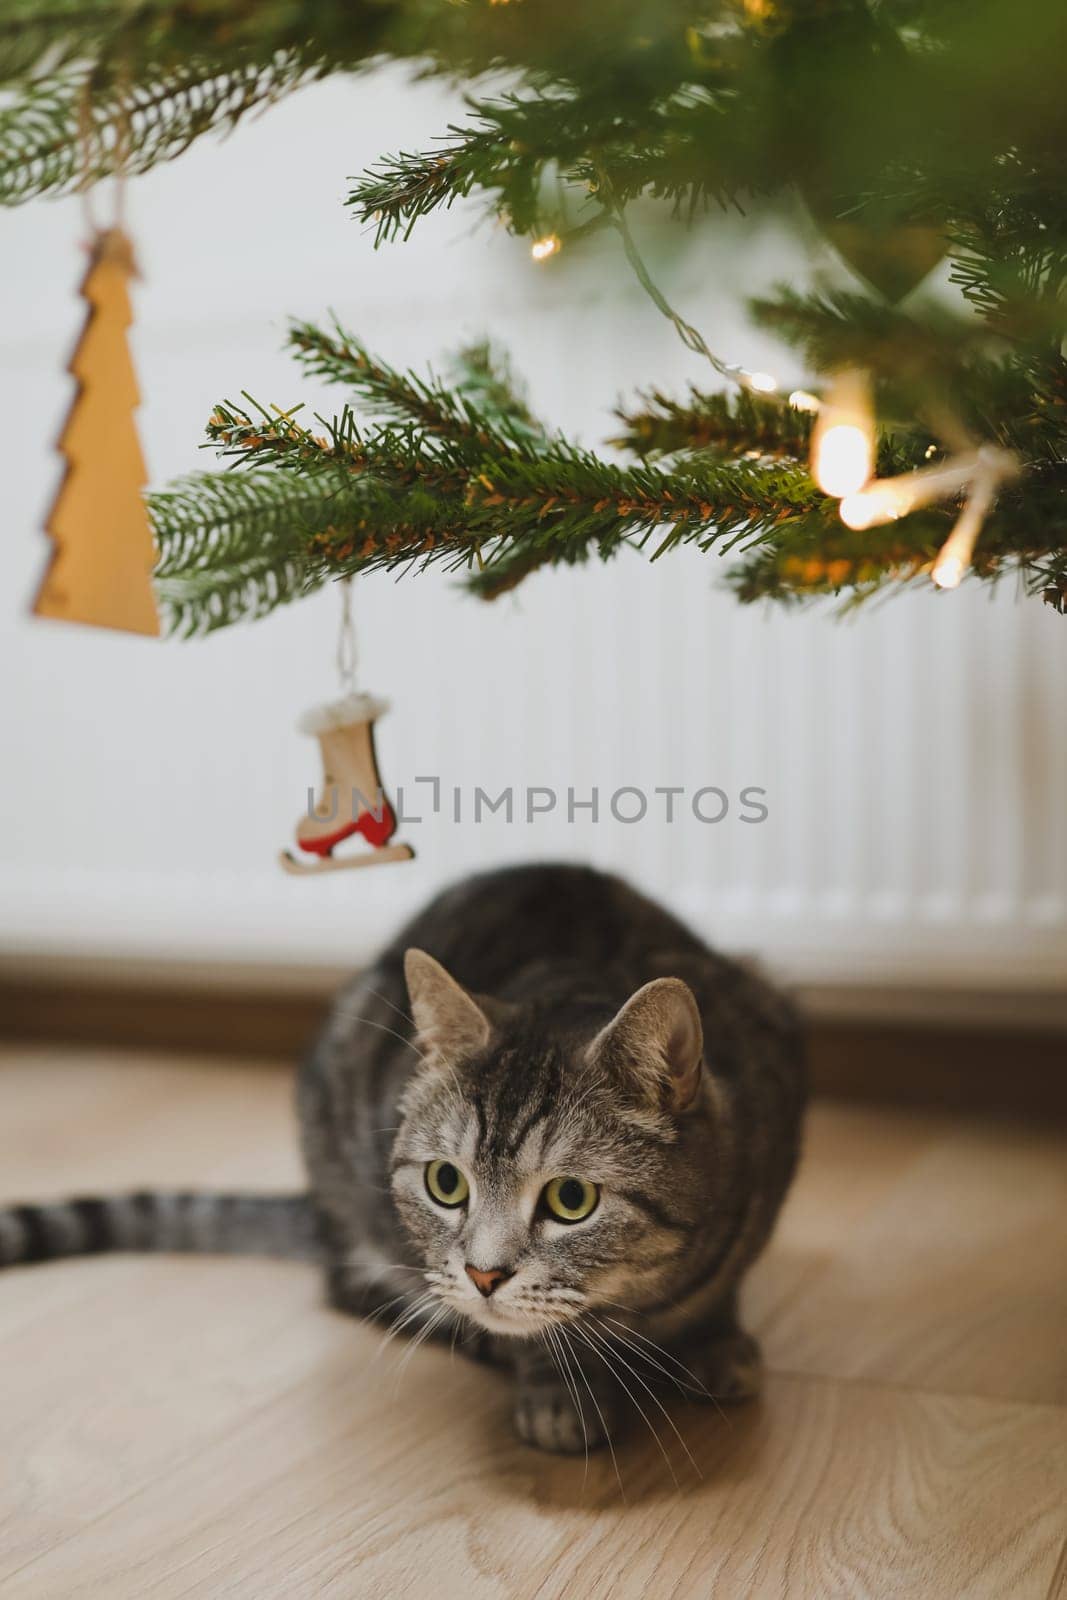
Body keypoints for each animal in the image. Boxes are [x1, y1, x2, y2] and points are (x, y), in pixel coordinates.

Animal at [0, 870, 799, 1459]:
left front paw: (716, 1340)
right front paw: (557, 1388)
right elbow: (534, 1337)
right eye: (446, 1184)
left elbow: (722, 1287)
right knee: (359, 1286)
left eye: (571, 1199)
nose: (483, 1276)